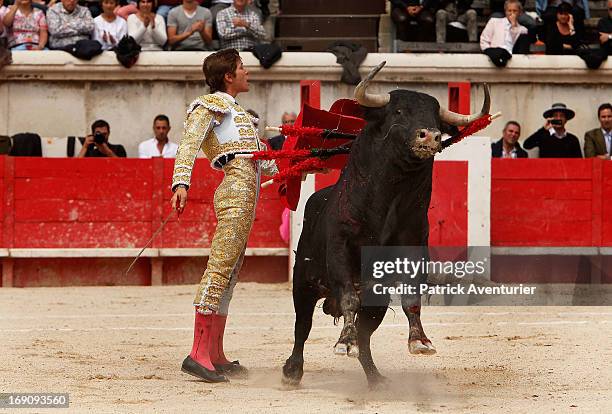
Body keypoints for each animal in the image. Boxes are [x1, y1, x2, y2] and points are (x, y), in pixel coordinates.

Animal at [284, 62, 492, 388]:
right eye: (398, 112)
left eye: (436, 119)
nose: (429, 136)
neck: (386, 205)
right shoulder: (339, 250)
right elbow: (347, 298)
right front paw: (343, 343)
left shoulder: (413, 250)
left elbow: (412, 299)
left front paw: (420, 341)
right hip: (303, 281)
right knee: (302, 326)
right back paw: (293, 370)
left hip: (376, 300)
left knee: (366, 336)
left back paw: (375, 378)